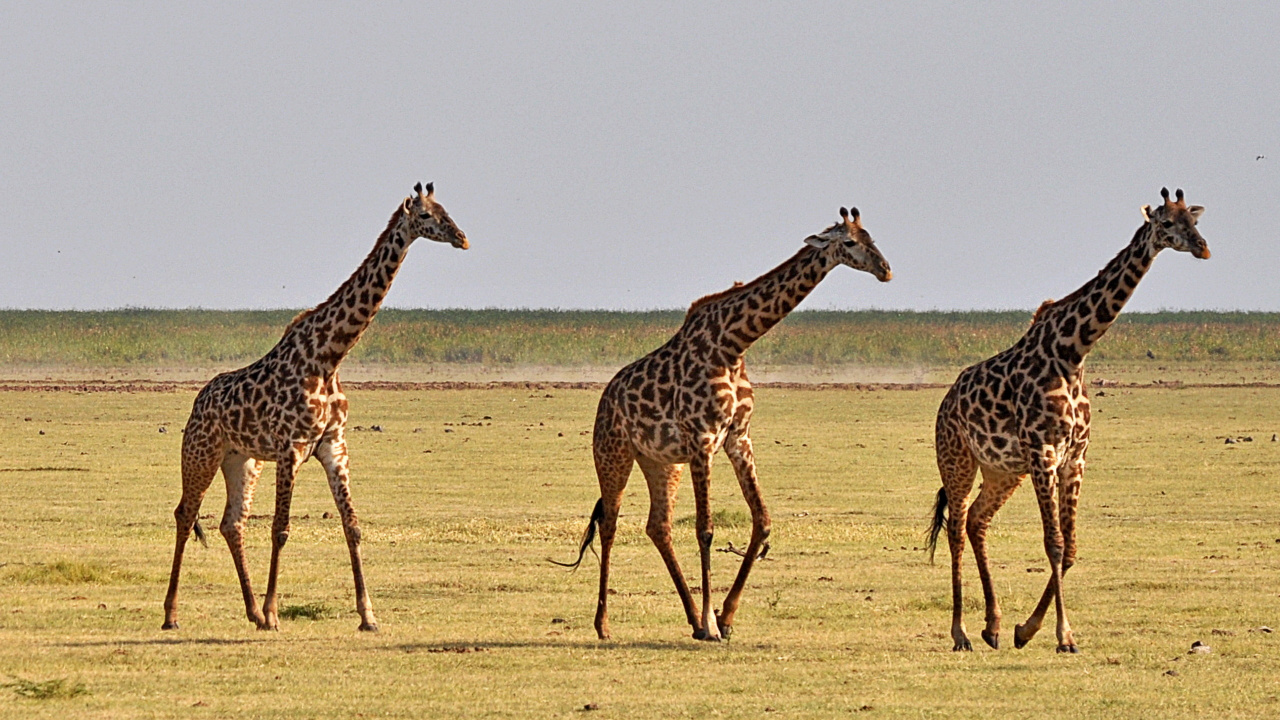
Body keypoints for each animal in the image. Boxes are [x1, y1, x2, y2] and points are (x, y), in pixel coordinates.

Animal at [162, 182, 468, 632]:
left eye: (448, 210)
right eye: (428, 216)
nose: (462, 238)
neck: (329, 356)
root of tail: (198, 402)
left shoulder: (333, 445)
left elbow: (352, 526)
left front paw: (368, 616)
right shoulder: (292, 447)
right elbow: (281, 529)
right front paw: (275, 612)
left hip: (242, 460)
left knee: (232, 523)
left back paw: (252, 612)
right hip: (201, 452)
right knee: (186, 514)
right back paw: (173, 615)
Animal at [556, 207, 892, 641]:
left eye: (872, 237)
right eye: (849, 242)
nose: (885, 270)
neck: (733, 345)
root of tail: (605, 398)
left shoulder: (738, 438)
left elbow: (762, 521)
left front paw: (725, 617)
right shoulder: (703, 439)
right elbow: (705, 529)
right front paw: (713, 622)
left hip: (662, 462)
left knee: (658, 526)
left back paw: (690, 619)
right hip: (613, 453)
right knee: (610, 525)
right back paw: (605, 624)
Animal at [926, 188, 1210, 653]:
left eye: (1195, 220)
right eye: (1167, 223)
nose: (1203, 248)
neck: (1073, 352)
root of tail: (946, 402)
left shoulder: (1074, 457)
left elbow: (1072, 547)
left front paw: (1026, 629)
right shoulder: (1043, 452)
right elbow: (1054, 543)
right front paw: (1063, 636)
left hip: (1003, 470)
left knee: (976, 520)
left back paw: (993, 626)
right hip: (957, 460)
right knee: (956, 529)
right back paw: (960, 632)